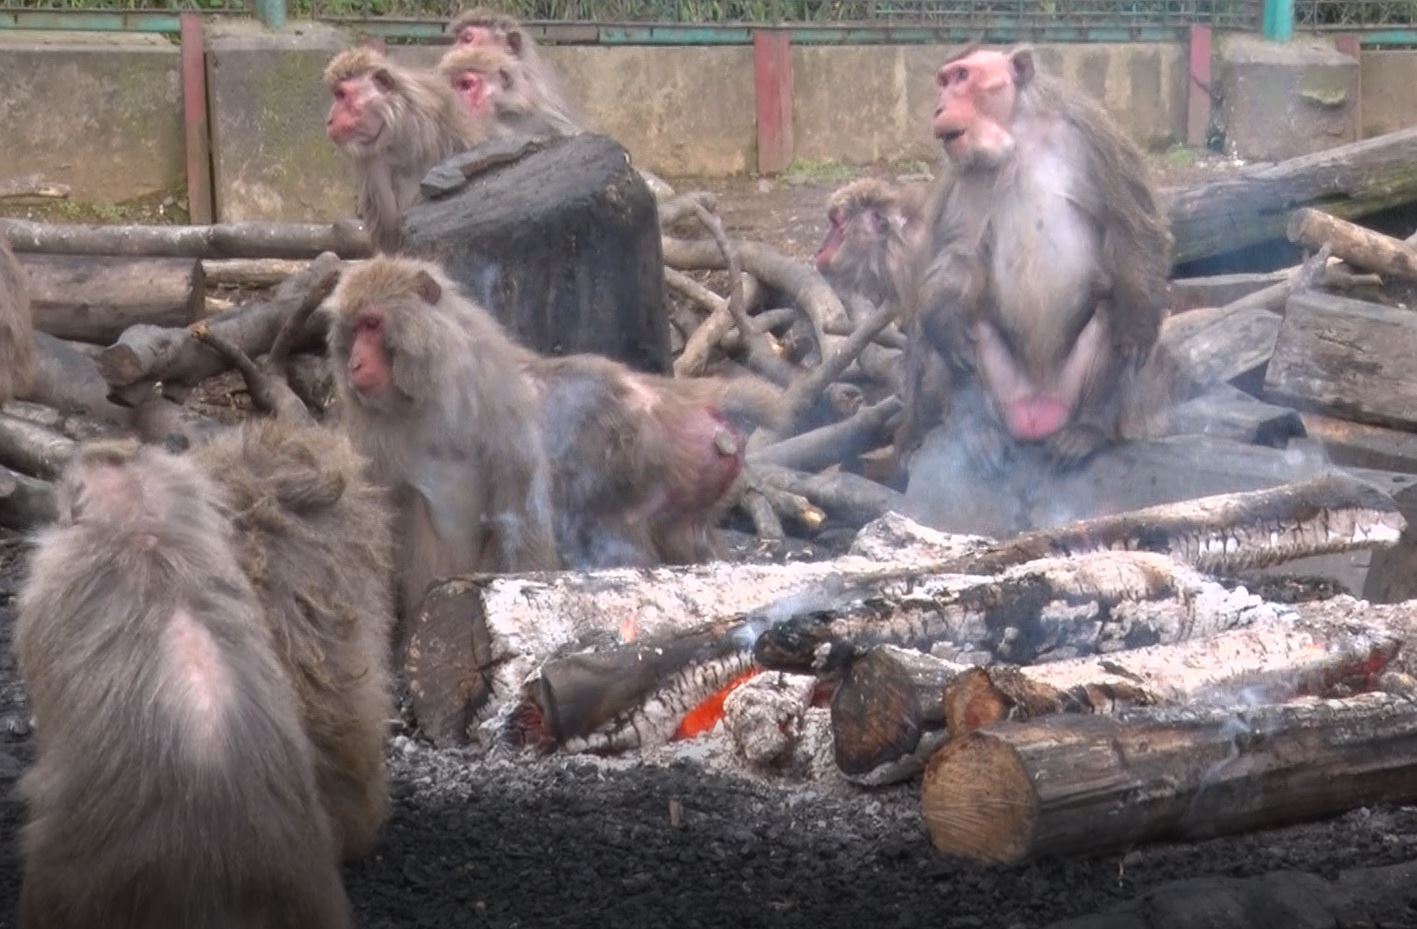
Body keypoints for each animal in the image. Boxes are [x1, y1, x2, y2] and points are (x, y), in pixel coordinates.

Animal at [324, 45, 484, 252]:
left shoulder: (430, 117)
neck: (394, 130)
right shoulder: (370, 159)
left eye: (341, 95)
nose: (329, 120)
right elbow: (389, 230)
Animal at [906, 45, 1173, 472]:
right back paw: (977, 429)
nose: (939, 107)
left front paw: (1138, 324)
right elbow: (959, 253)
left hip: (1069, 389)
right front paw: (944, 319)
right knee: (961, 325)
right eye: (943, 82)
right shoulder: (963, 170)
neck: (1016, 134)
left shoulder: (1091, 132)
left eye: (962, 77)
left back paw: (1090, 429)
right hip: (1006, 393)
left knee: (1109, 313)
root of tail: (1037, 409)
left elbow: (1131, 226)